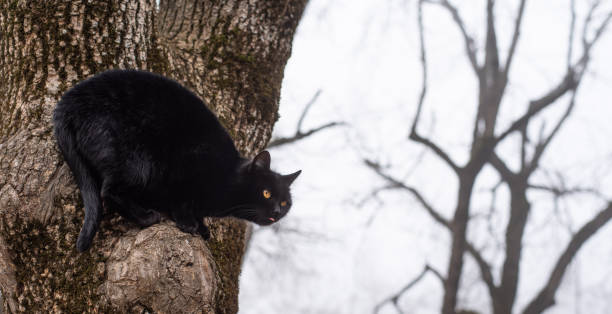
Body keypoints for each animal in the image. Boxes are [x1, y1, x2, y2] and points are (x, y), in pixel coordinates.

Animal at [52, 70, 302, 251]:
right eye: (266, 193)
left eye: (285, 203)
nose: (276, 211)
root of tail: (68, 102)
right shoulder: (186, 165)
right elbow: (182, 200)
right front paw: (189, 223)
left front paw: (202, 226)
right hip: (138, 162)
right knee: (108, 191)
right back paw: (147, 217)